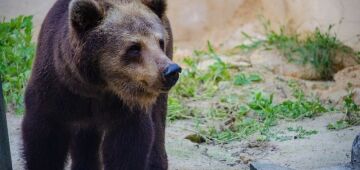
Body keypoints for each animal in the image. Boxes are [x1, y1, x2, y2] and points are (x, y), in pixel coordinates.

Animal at [21, 0, 181, 169]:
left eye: (160, 42)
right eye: (134, 47)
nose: (171, 70)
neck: (96, 86)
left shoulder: (125, 107)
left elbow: (127, 146)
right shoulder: (55, 88)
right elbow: (44, 142)